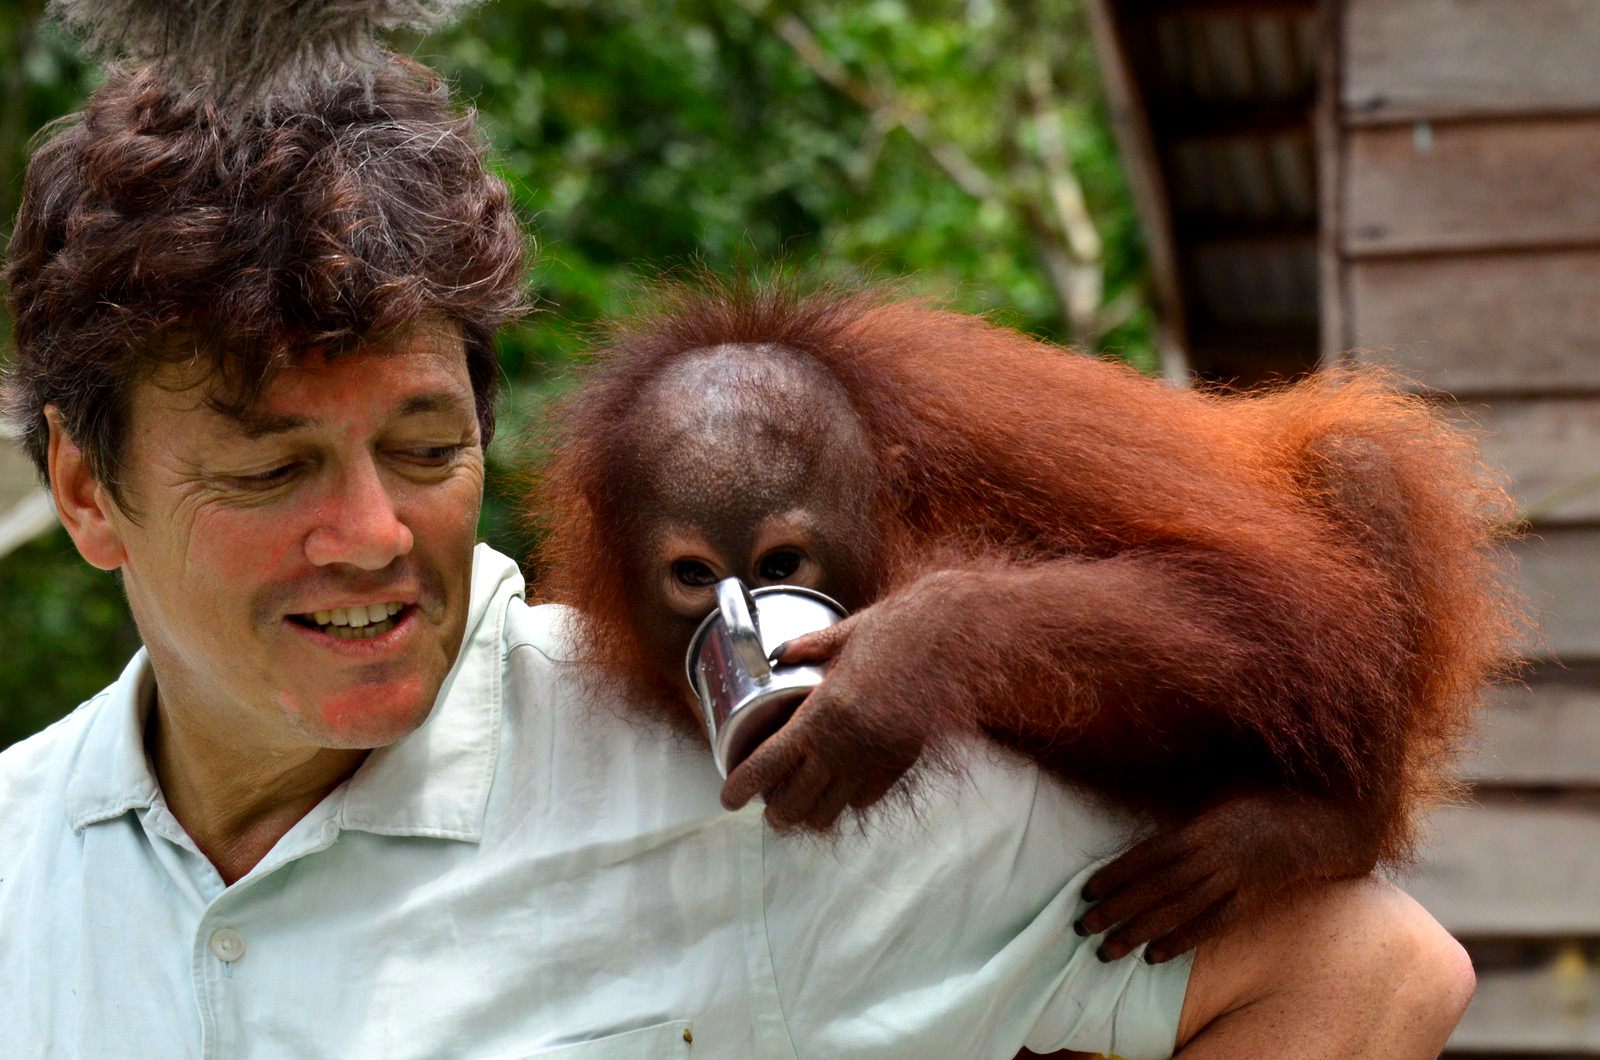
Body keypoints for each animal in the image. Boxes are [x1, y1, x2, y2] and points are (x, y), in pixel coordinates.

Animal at [530, 279, 1516, 964]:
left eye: (780, 566)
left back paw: (1323, 827)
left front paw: (901, 663)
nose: (738, 615)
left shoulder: (996, 435)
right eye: (694, 576)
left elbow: (1274, 597)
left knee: (1356, 462)